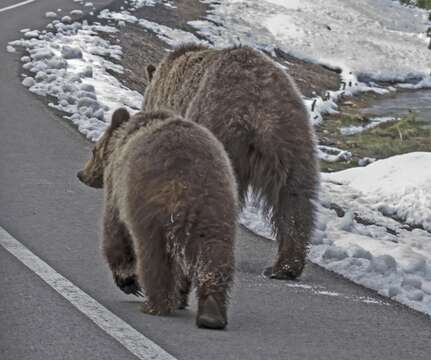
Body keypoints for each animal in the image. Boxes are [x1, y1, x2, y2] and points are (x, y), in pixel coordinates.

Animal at [78, 107, 240, 330]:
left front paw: (127, 280)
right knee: (214, 254)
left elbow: (115, 233)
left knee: (154, 256)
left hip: (152, 208)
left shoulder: (118, 191)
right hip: (217, 210)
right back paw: (212, 314)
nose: (81, 174)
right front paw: (181, 295)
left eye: (94, 150)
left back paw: (155, 304)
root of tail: (189, 184)